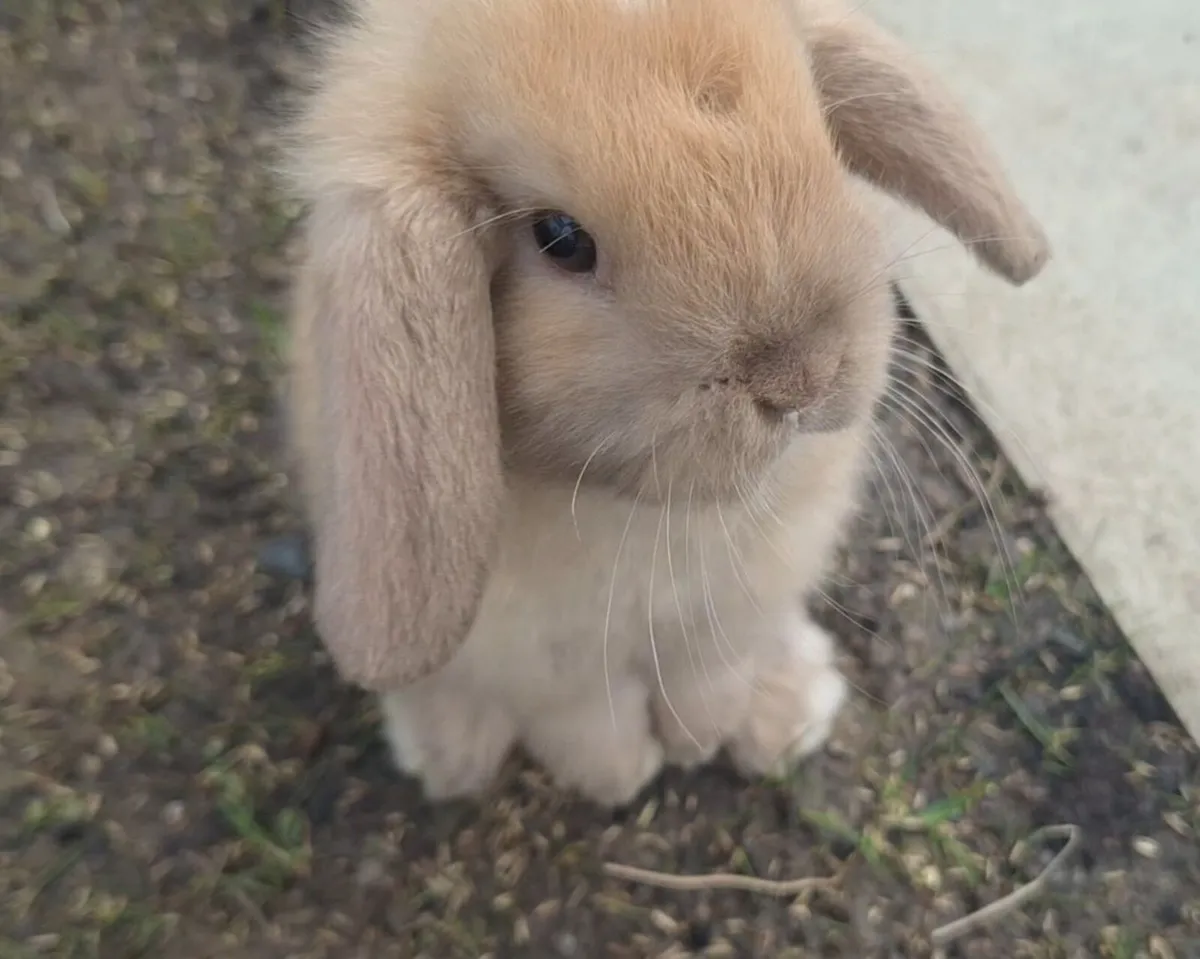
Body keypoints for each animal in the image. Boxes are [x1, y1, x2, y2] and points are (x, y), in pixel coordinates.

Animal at [279, 0, 1050, 806]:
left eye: (821, 130)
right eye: (559, 238)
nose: (801, 379)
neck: (663, 513)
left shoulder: (738, 608)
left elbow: (711, 677)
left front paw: (699, 739)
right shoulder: (547, 658)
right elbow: (588, 718)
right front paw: (622, 775)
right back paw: (447, 756)